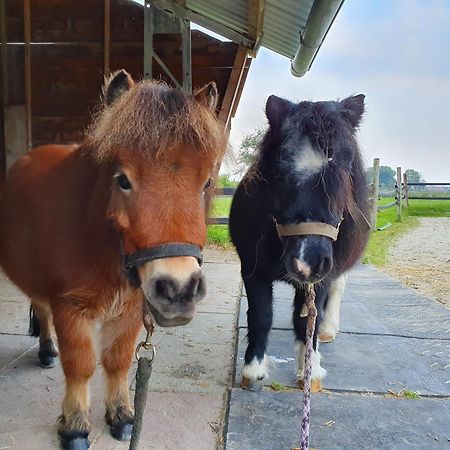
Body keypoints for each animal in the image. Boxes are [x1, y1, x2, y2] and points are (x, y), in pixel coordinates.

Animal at [0, 70, 225, 450]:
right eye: (123, 180)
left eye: (206, 182)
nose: (178, 289)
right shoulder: (68, 306)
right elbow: (80, 365)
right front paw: (75, 426)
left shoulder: (132, 306)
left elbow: (118, 361)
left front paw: (121, 415)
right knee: (41, 309)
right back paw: (46, 351)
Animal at [229, 94, 370, 390]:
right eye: (278, 172)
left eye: (343, 171)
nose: (308, 262)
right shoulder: (252, 270)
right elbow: (261, 315)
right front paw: (253, 369)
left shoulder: (323, 277)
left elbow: (306, 323)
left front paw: (310, 369)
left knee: (336, 291)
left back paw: (328, 329)